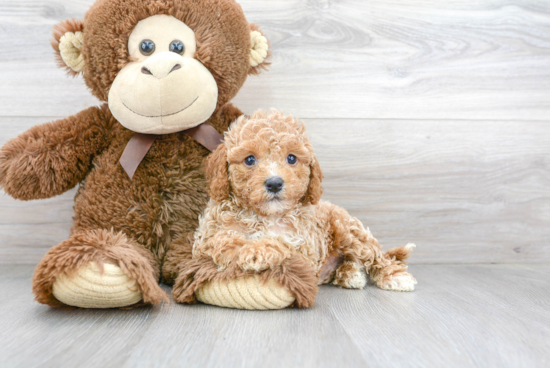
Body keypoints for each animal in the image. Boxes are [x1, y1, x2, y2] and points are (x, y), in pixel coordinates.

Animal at [192, 110, 416, 300]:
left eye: (291, 158)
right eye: (249, 160)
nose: (274, 183)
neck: (265, 216)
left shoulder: (304, 249)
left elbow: (281, 242)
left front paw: (258, 250)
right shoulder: (206, 239)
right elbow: (223, 240)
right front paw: (248, 248)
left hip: (349, 232)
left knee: (376, 256)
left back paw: (394, 276)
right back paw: (350, 274)